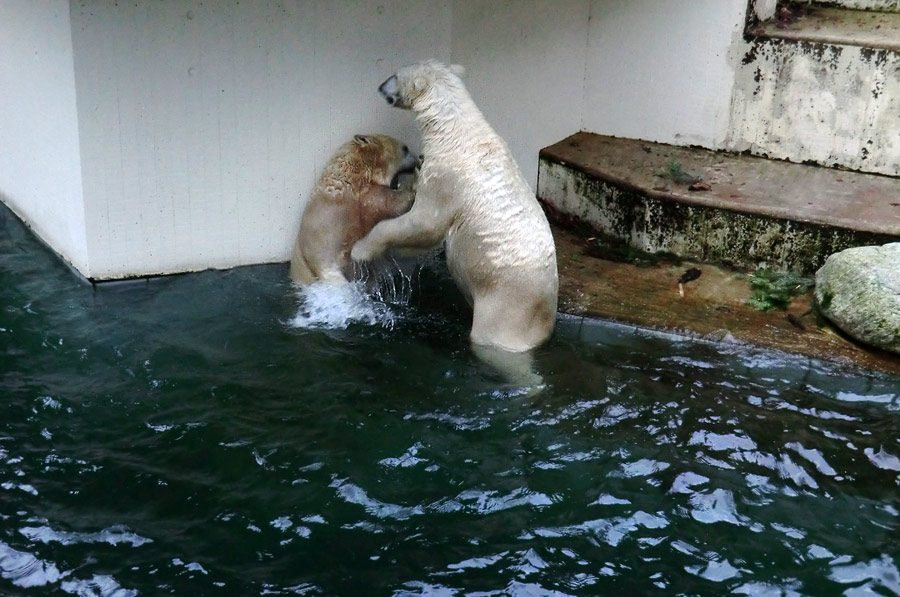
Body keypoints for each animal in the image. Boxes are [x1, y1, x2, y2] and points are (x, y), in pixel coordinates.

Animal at [350, 60, 556, 352]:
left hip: (506, 307)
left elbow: (424, 224)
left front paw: (360, 250)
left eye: (396, 75)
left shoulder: (447, 179)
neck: (455, 130)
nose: (380, 87)